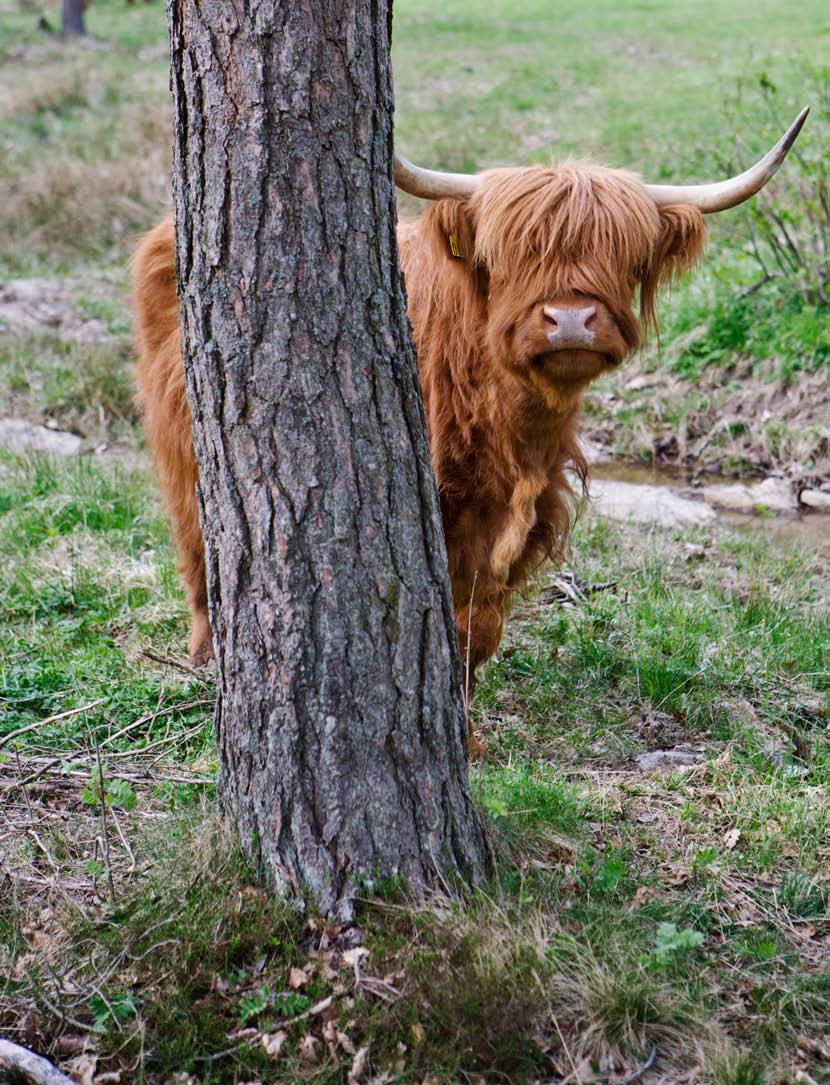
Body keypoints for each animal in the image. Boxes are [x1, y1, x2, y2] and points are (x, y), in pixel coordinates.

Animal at [134, 114, 802, 750]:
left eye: (624, 256)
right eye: (514, 257)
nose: (570, 320)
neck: (511, 433)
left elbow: (476, 625)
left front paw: (467, 733)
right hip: (184, 450)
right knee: (198, 550)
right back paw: (202, 657)